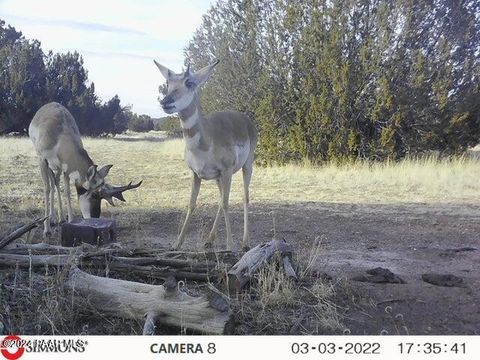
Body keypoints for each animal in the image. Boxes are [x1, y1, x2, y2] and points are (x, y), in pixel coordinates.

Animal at [28, 101, 141, 236]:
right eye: (95, 195)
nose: (95, 218)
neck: (61, 136)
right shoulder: (42, 160)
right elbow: (46, 189)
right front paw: (47, 230)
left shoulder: (66, 168)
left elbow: (67, 192)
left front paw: (70, 221)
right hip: (48, 165)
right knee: (51, 184)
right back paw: (53, 219)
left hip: (57, 168)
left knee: (55, 182)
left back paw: (59, 218)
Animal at [156, 59, 256, 250]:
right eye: (168, 82)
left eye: (189, 82)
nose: (165, 101)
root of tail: (246, 119)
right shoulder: (196, 174)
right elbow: (192, 204)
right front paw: (177, 243)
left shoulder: (226, 171)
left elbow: (226, 203)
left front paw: (229, 245)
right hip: (219, 178)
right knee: (221, 198)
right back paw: (209, 240)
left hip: (246, 167)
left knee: (245, 197)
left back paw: (246, 242)